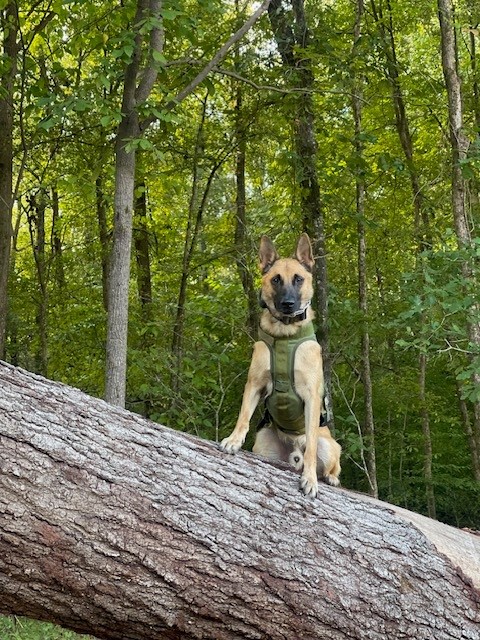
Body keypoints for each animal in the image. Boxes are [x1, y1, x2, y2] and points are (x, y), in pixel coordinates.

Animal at [221, 232, 342, 498]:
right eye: (276, 279)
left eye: (298, 279)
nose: (287, 304)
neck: (285, 334)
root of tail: (293, 452)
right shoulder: (254, 384)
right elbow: (243, 416)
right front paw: (233, 439)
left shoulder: (311, 397)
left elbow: (311, 451)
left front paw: (310, 479)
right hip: (263, 442)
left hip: (329, 445)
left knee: (329, 462)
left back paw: (329, 477)